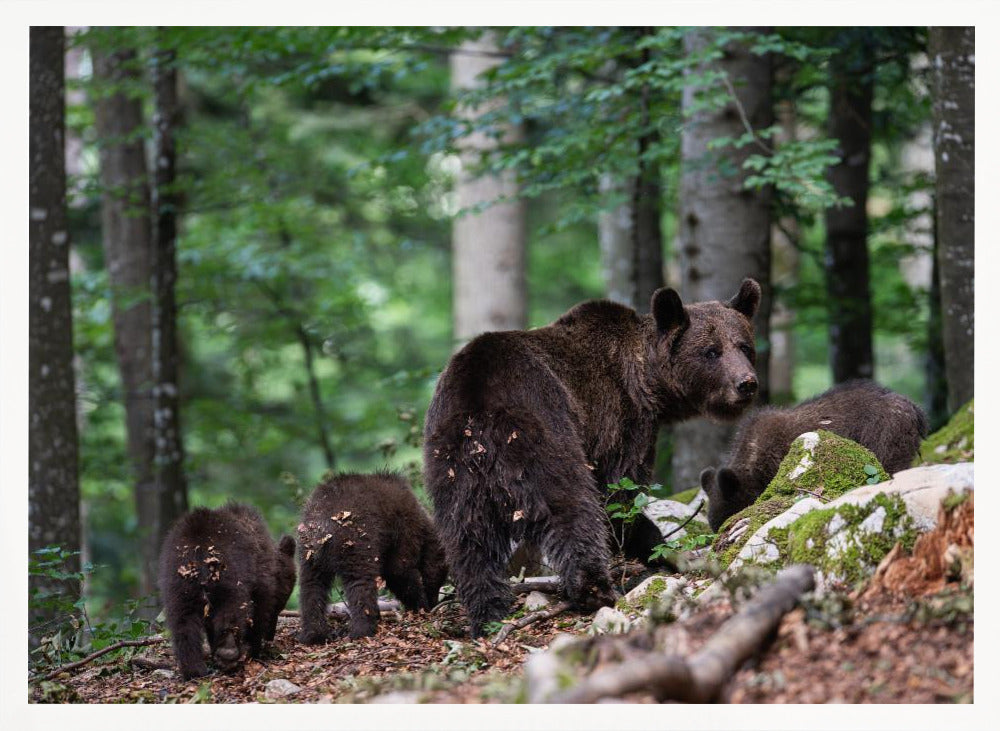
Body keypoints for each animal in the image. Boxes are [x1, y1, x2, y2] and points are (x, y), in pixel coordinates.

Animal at [158, 502, 296, 679]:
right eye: (280, 604)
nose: (271, 635)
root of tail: (197, 551)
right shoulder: (260, 579)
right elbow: (258, 611)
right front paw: (255, 648)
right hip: (227, 576)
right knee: (231, 611)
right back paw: (228, 653)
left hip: (178, 583)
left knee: (182, 622)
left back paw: (194, 669)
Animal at [296, 472, 448, 643]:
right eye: (442, 578)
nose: (435, 601)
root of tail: (321, 527)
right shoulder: (404, 529)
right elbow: (399, 571)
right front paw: (420, 605)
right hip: (355, 542)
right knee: (360, 583)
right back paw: (363, 629)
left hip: (309, 554)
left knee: (311, 586)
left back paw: (313, 634)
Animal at [423, 279, 762, 636]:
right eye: (711, 351)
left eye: (744, 346)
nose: (746, 384)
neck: (649, 382)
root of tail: (479, 405)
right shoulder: (621, 420)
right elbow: (620, 495)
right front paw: (657, 548)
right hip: (543, 427)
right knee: (571, 506)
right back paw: (595, 589)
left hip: (452, 463)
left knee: (467, 538)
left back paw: (486, 613)